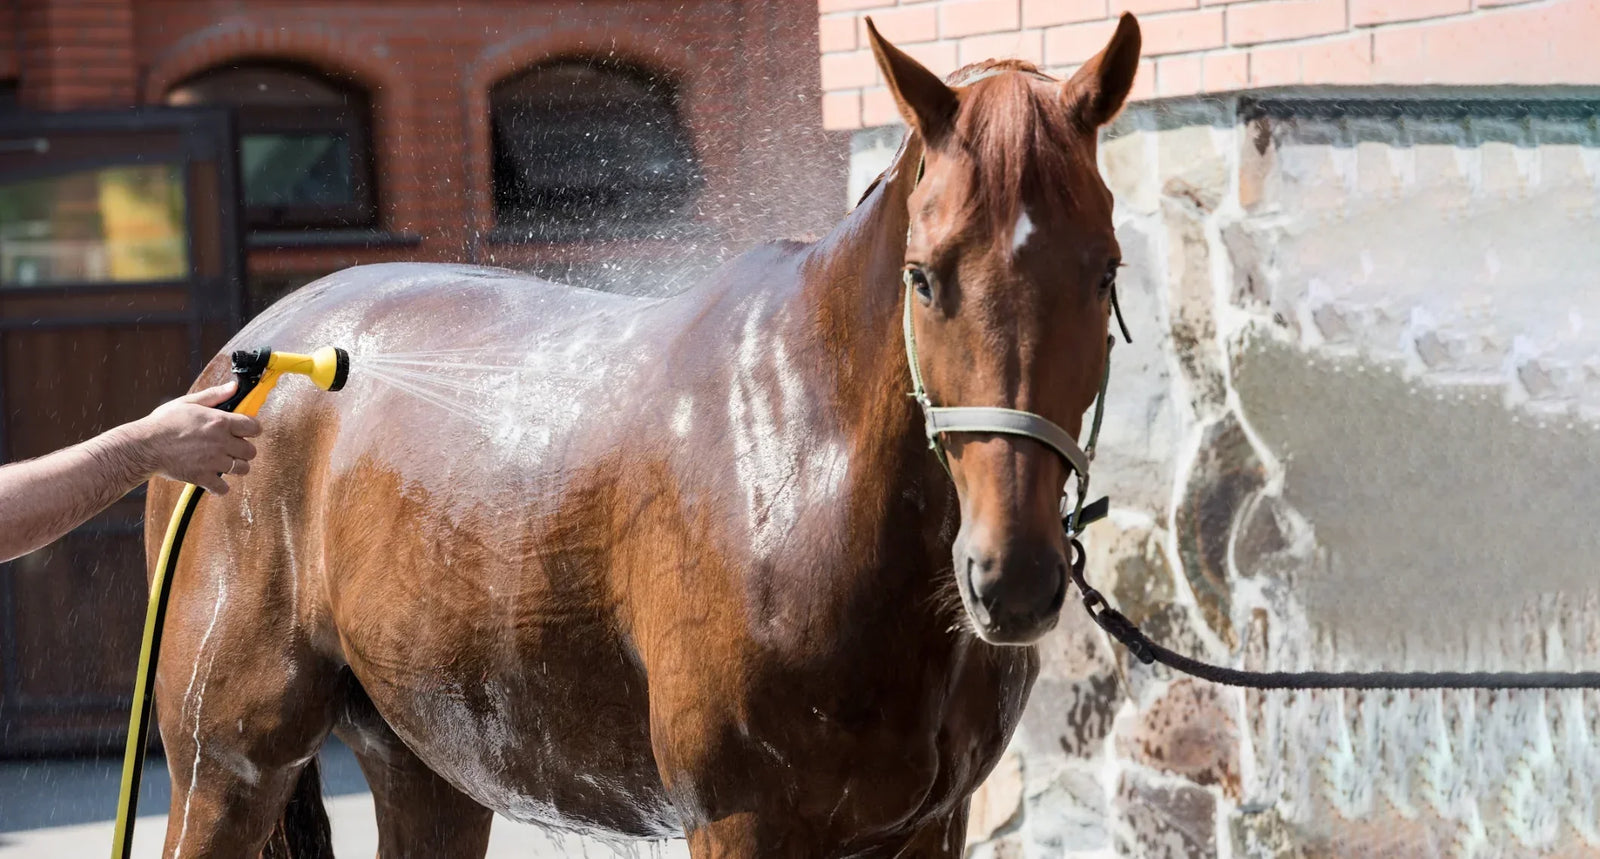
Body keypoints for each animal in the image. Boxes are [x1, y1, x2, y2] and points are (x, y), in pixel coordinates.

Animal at [144, 15, 1142, 857]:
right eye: (924, 276)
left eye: (1105, 272)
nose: (1012, 577)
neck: (804, 471)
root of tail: (250, 359)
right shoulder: (741, 820)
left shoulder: (932, 823)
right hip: (224, 767)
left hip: (427, 764)